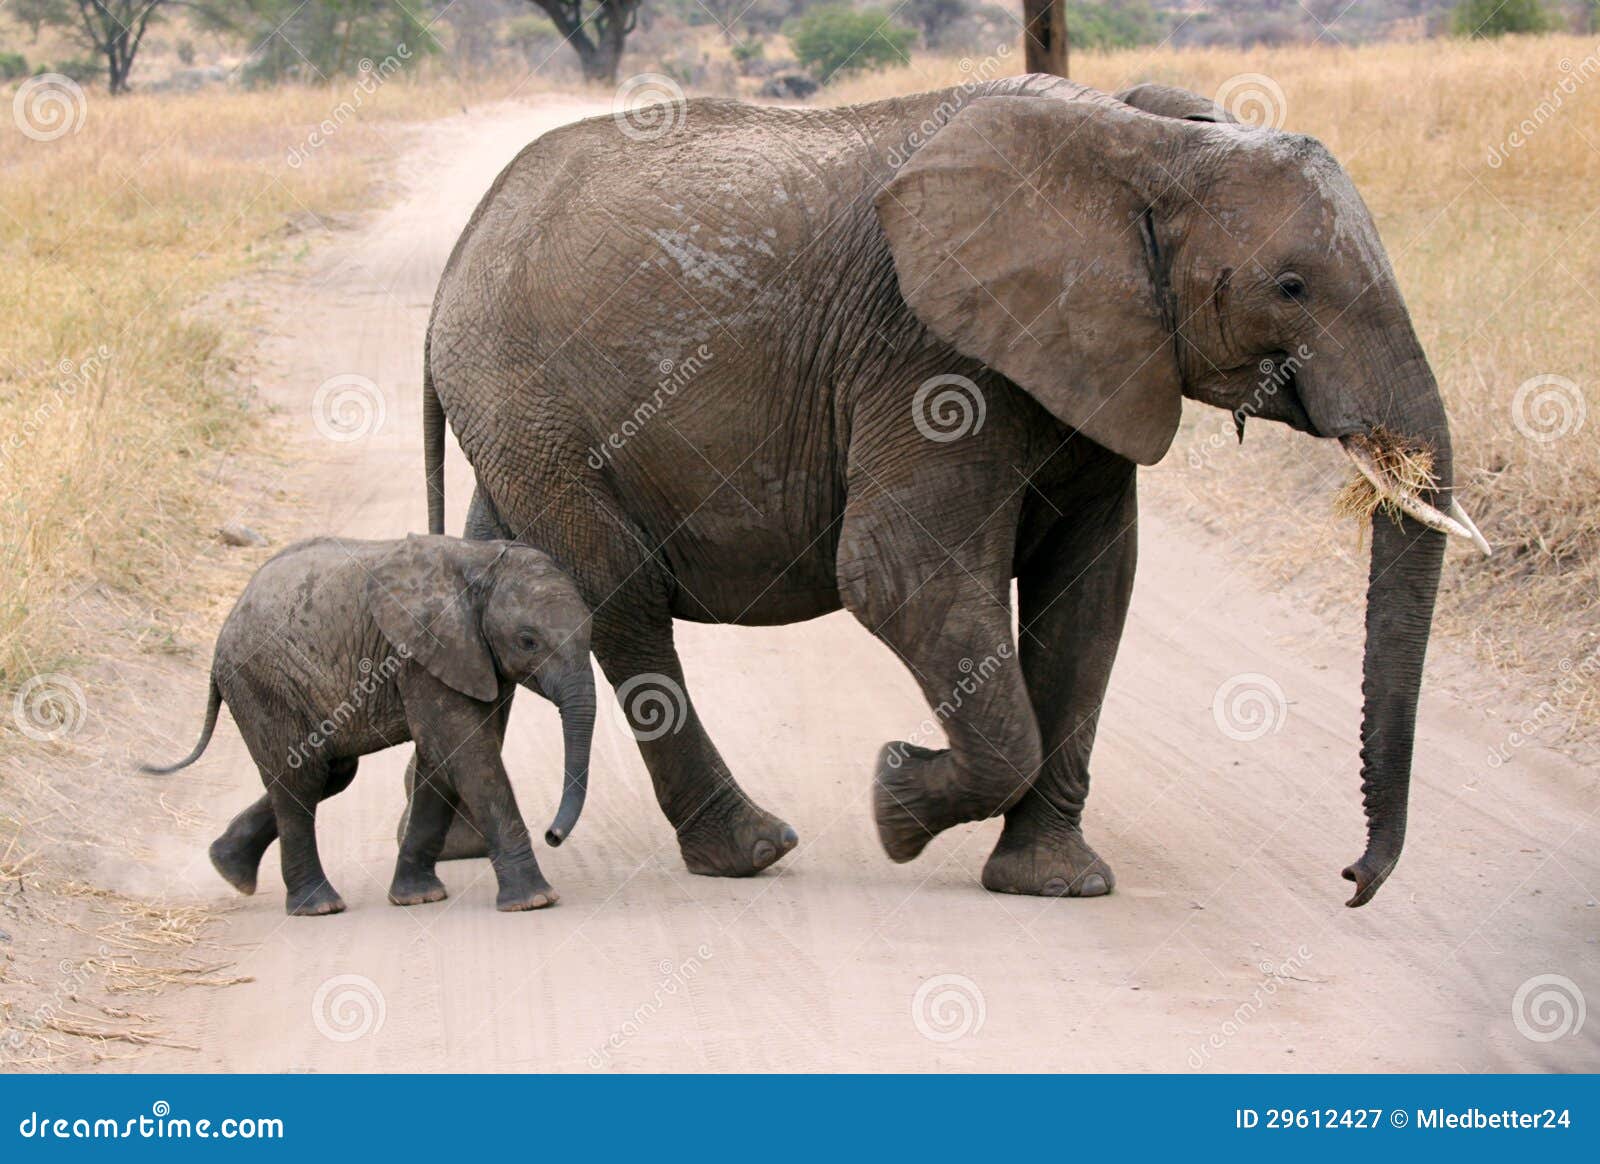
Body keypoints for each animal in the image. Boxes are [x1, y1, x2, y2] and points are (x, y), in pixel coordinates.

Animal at [143, 535, 595, 915]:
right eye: (528, 641)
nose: (553, 835)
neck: (479, 563)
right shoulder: (420, 652)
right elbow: (468, 753)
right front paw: (535, 901)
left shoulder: (470, 658)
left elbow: (440, 759)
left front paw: (418, 897)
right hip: (262, 683)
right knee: (300, 779)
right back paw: (318, 906)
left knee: (329, 774)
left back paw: (228, 866)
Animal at [416, 74, 1489, 907]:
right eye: (1293, 287)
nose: (1353, 881)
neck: (1145, 145)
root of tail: (459, 254)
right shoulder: (932, 357)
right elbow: (895, 571)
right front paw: (894, 801)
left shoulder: (1092, 360)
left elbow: (1090, 590)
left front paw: (1055, 883)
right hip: (539, 407)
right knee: (624, 604)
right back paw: (752, 851)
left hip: (516, 421)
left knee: (509, 578)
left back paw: (456, 849)